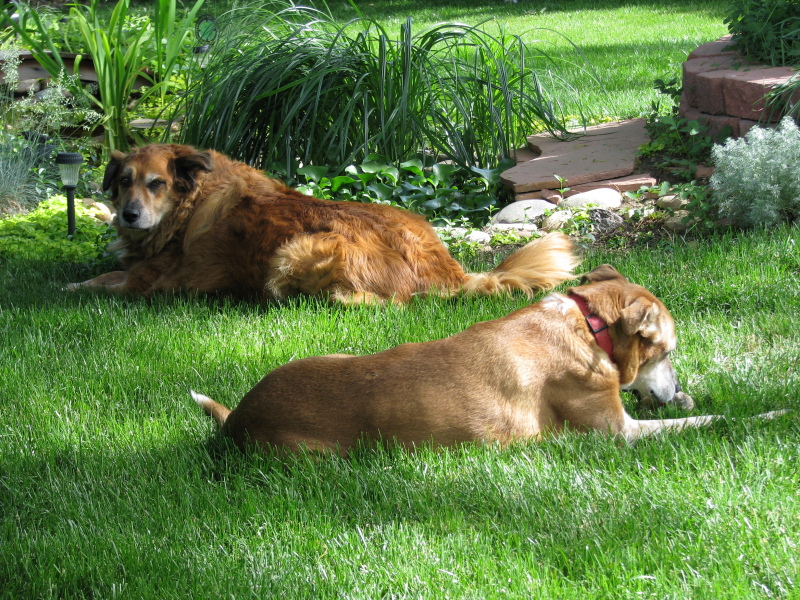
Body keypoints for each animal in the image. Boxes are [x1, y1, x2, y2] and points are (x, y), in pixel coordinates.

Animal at [68, 144, 579, 304]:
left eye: (156, 183)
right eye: (124, 181)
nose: (128, 214)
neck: (188, 206)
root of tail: (447, 272)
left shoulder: (156, 283)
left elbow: (109, 281)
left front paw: (76, 285)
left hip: (298, 248)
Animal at [191, 264, 786, 454]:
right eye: (666, 352)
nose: (670, 388)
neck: (586, 326)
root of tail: (238, 418)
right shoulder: (618, 435)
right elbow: (714, 421)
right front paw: (769, 414)